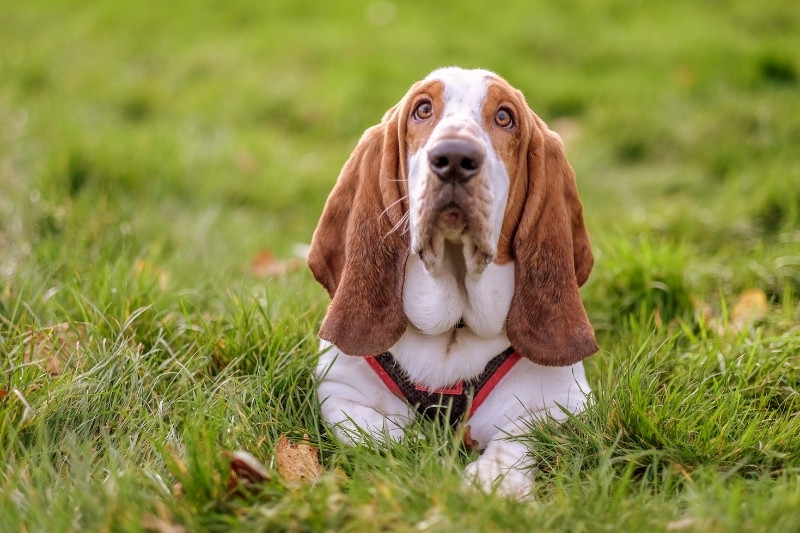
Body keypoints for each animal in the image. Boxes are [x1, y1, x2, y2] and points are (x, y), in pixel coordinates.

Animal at [306, 66, 592, 498]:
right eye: (423, 109)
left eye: (505, 117)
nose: (455, 157)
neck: (453, 329)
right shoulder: (339, 387)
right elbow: (371, 432)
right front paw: (415, 449)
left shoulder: (566, 399)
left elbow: (521, 437)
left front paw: (494, 481)